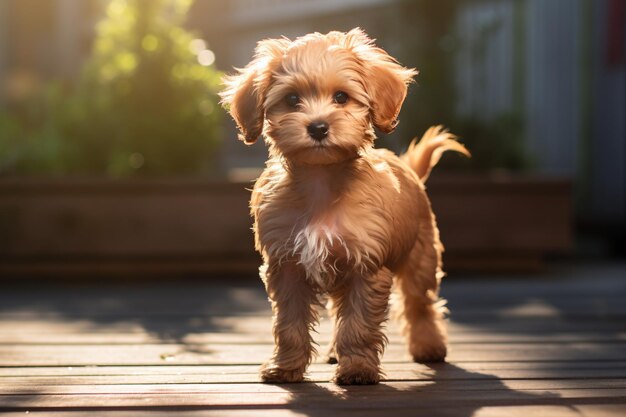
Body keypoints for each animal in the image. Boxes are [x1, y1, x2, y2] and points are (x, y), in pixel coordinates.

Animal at [219, 27, 468, 384]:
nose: (318, 127)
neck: (321, 181)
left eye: (341, 97)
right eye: (292, 100)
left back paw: (428, 346)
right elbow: (289, 324)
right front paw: (285, 366)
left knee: (420, 305)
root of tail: (409, 169)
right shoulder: (286, 266)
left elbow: (358, 323)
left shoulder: (365, 267)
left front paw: (359, 369)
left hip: (421, 256)